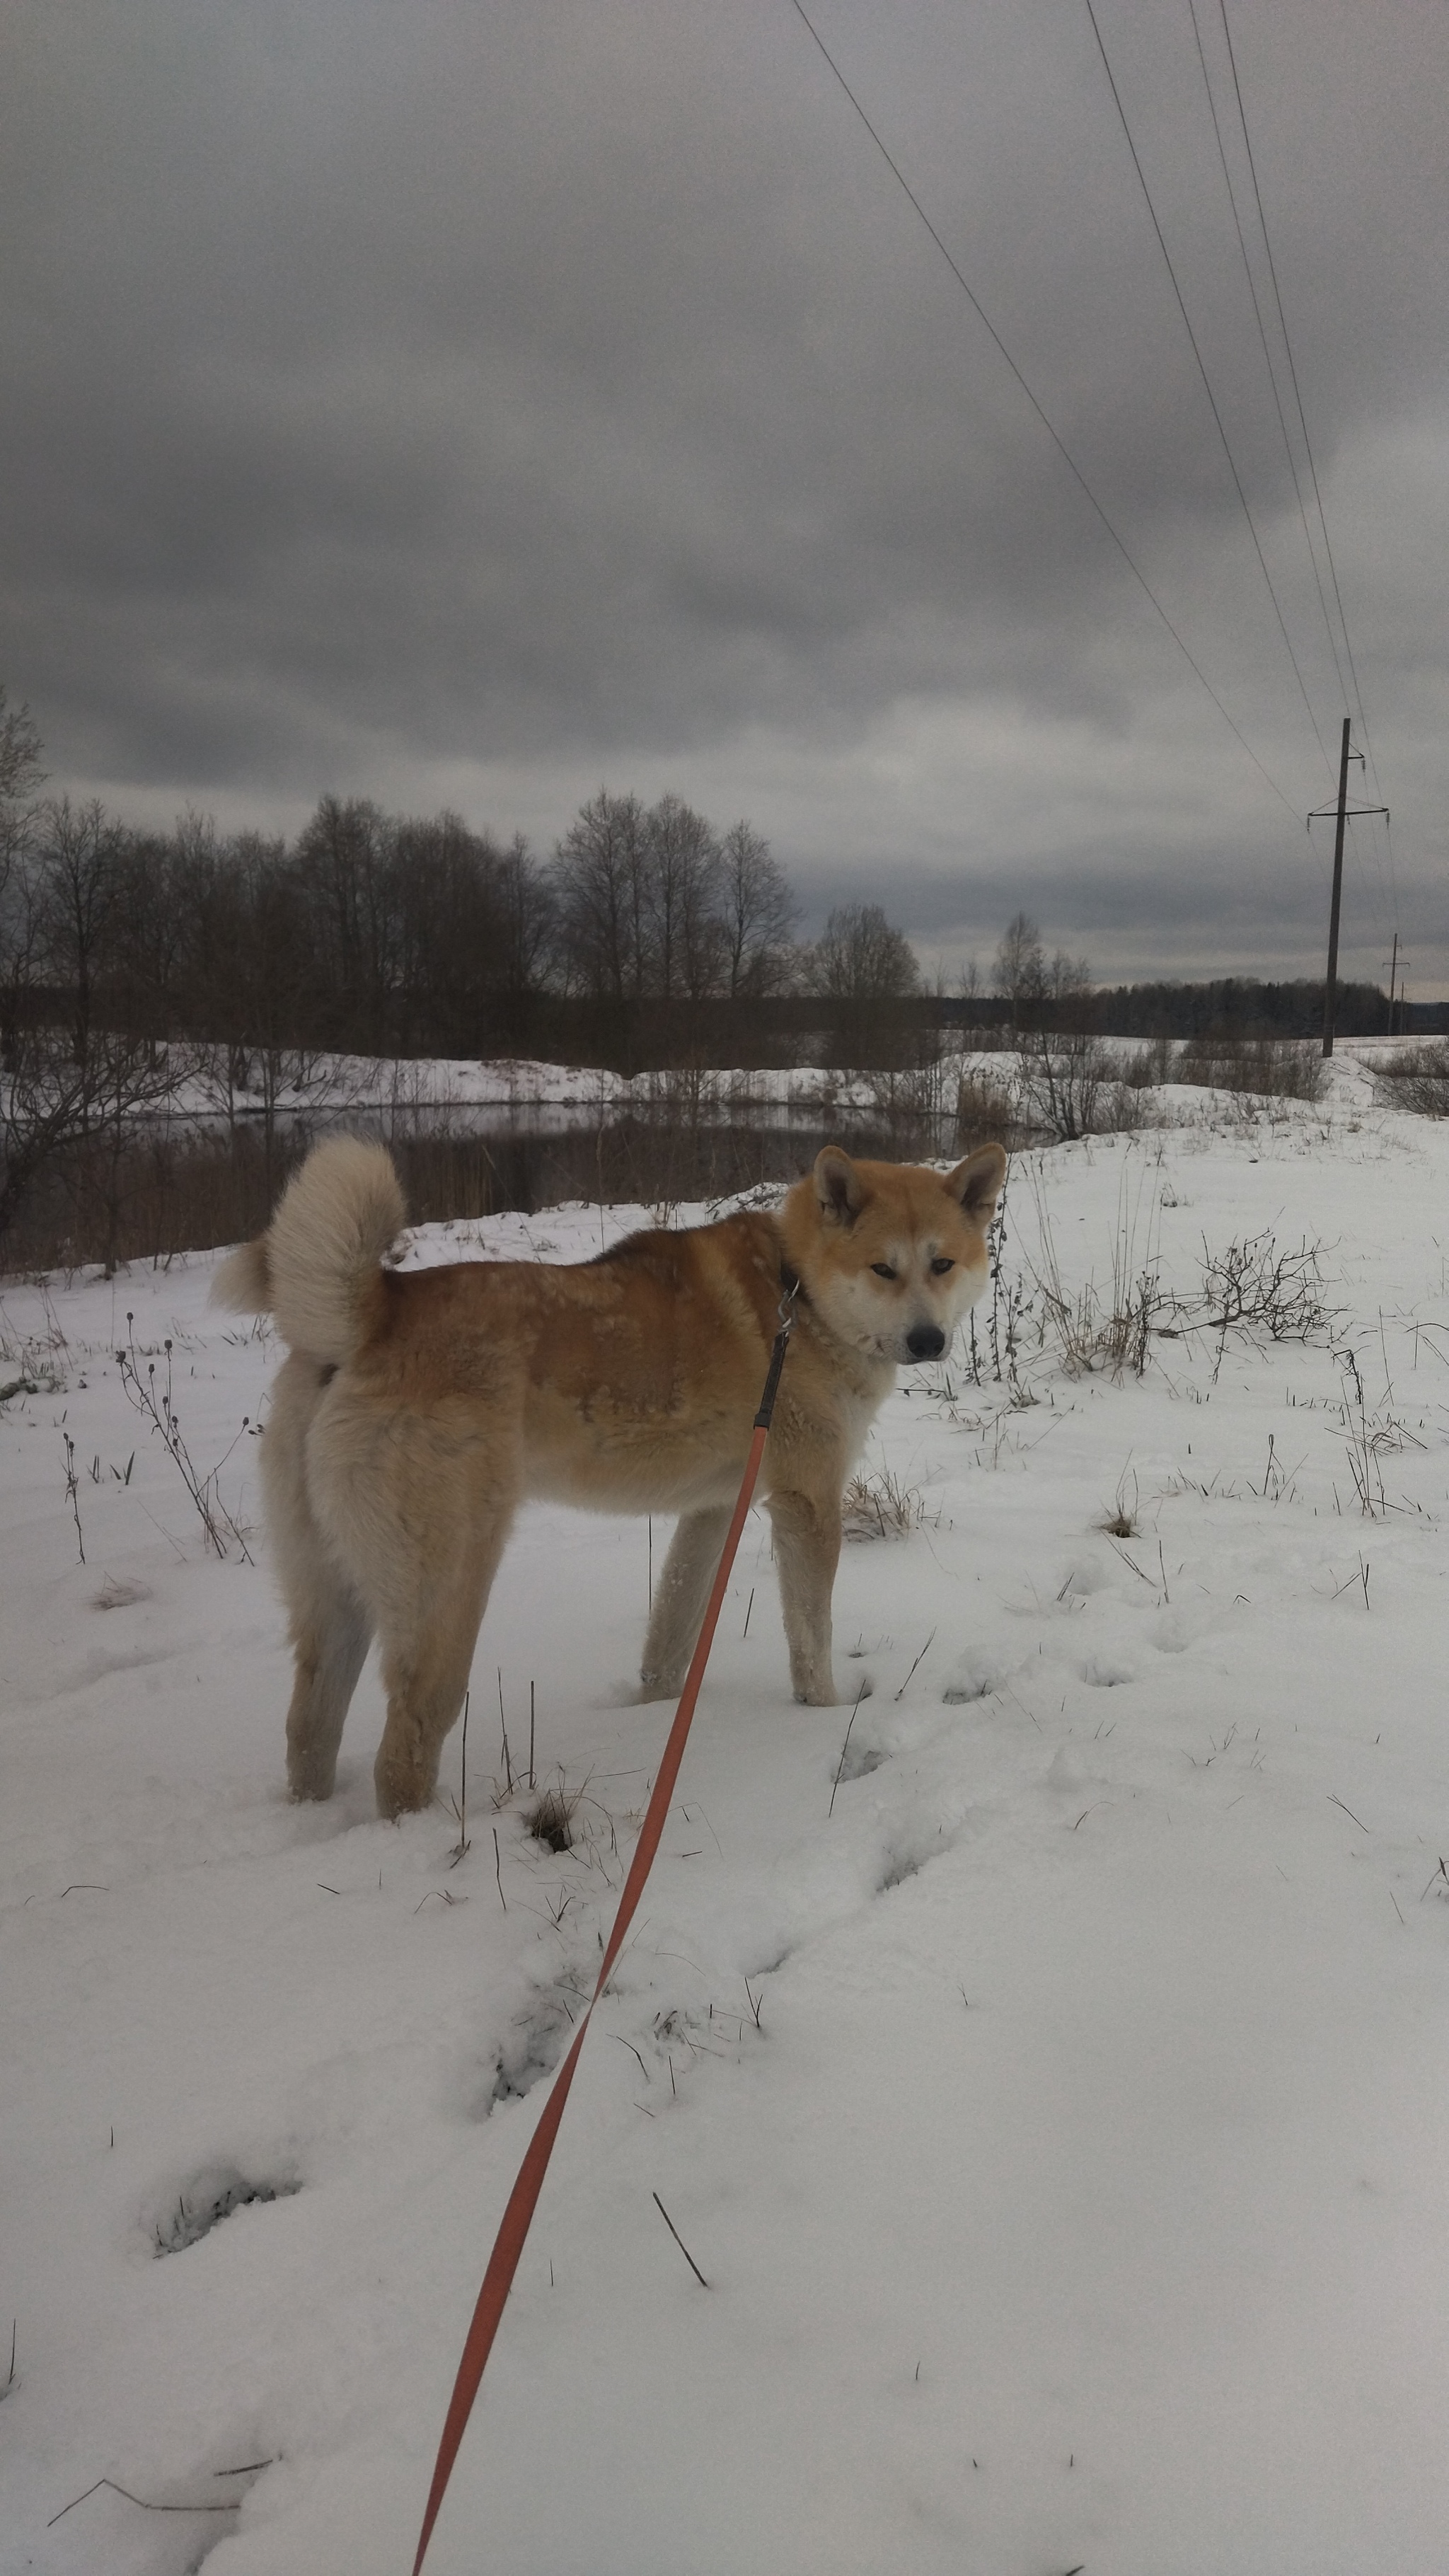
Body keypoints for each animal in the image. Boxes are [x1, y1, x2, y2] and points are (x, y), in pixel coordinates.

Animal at [217, 1138, 1005, 1823]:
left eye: (941, 1263)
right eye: (882, 1269)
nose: (928, 1340)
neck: (798, 1290)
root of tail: (371, 1313)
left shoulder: (714, 1508)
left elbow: (670, 1636)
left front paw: (654, 1714)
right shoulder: (806, 1503)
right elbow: (810, 1639)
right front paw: (825, 1716)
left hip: (335, 1593)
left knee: (309, 1728)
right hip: (447, 1588)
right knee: (404, 1746)